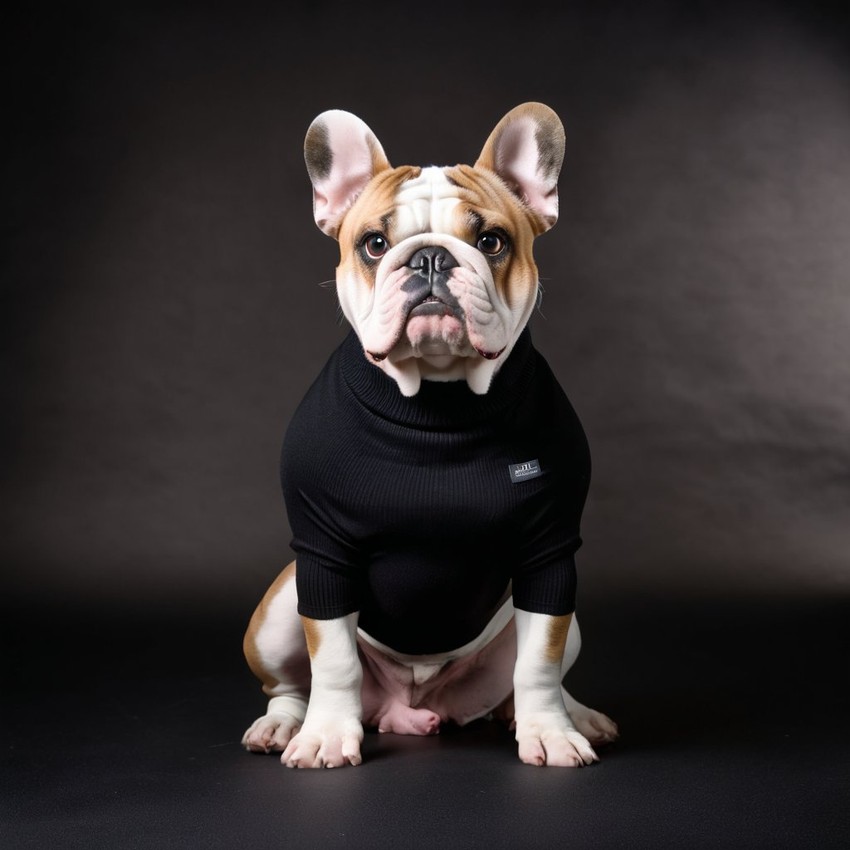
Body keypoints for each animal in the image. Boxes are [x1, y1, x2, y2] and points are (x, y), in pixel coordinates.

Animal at [238, 102, 616, 764]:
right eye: (375, 244)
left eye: (491, 242)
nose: (431, 257)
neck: (437, 401)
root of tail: (409, 707)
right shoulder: (323, 553)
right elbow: (331, 659)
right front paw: (326, 735)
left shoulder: (549, 556)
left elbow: (538, 664)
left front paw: (550, 732)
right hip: (281, 608)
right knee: (288, 682)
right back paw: (285, 725)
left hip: (566, 622)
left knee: (526, 676)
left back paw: (572, 716)